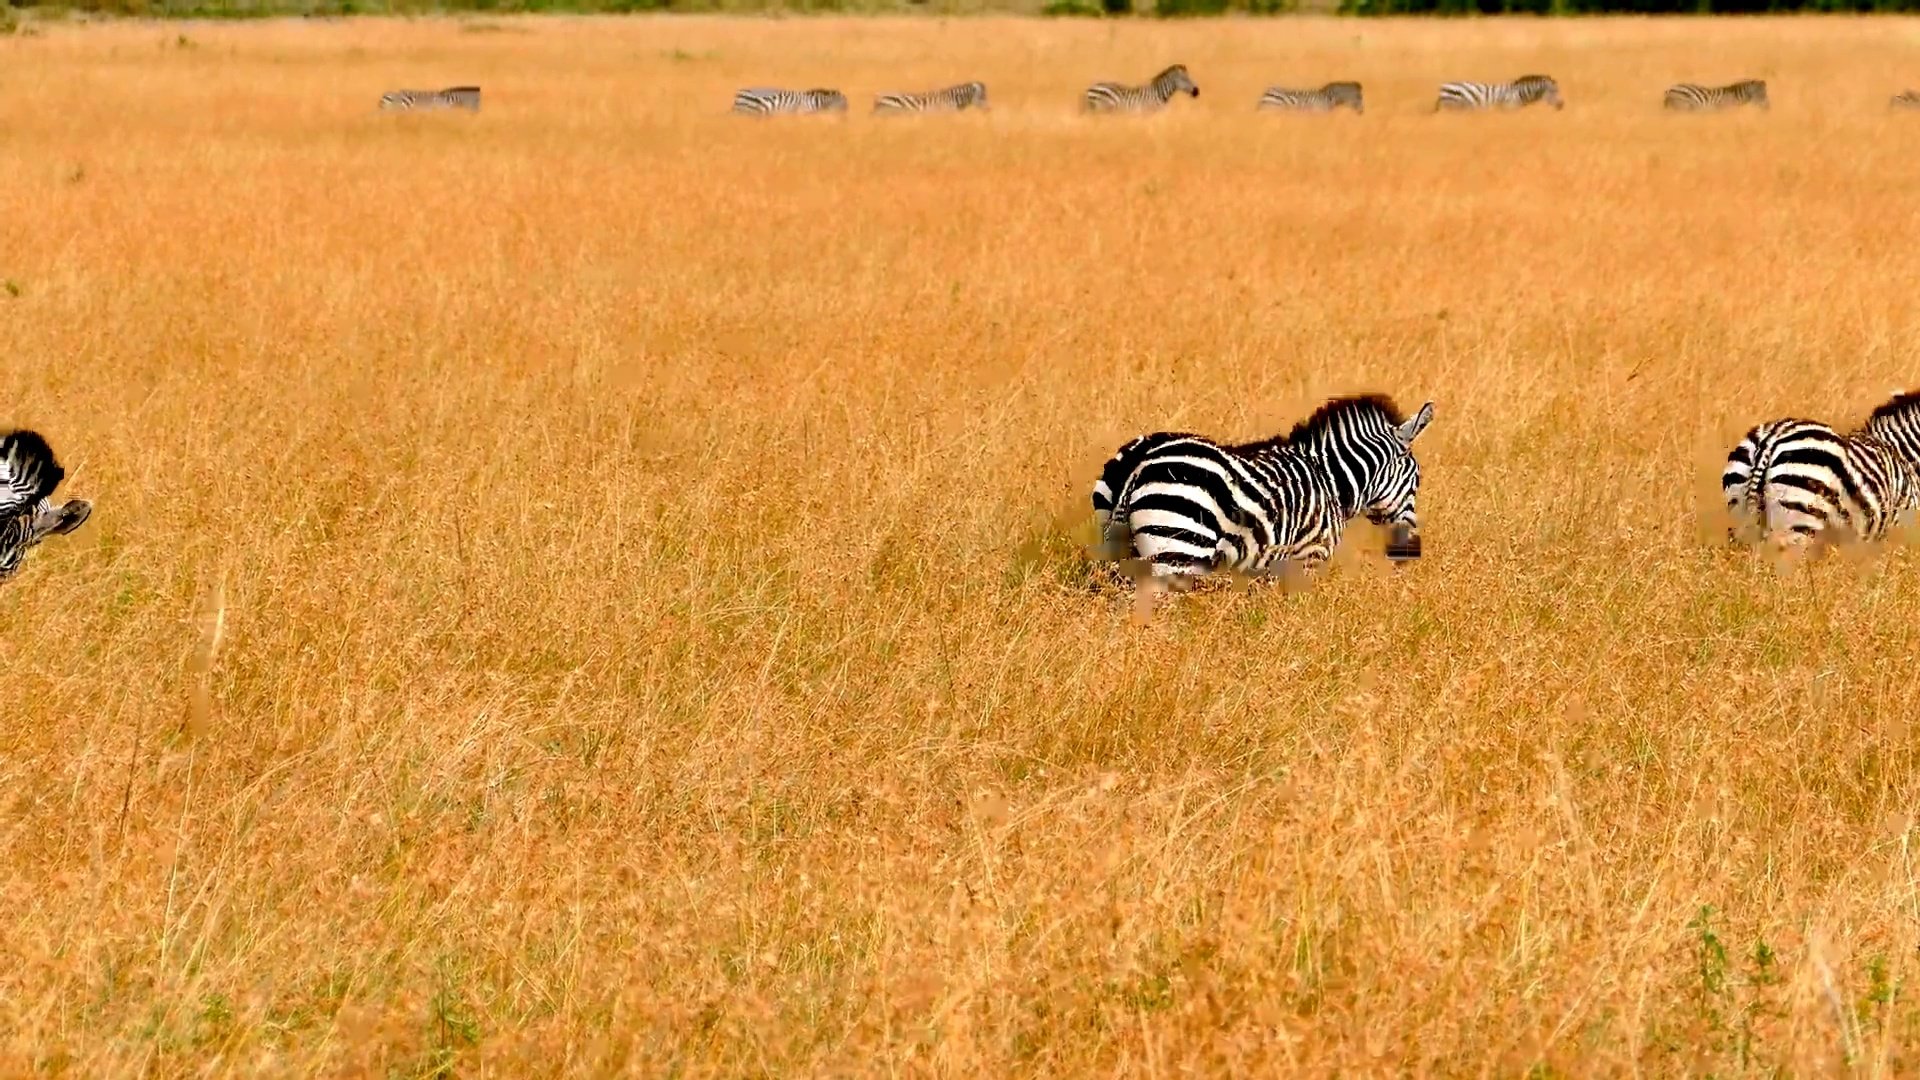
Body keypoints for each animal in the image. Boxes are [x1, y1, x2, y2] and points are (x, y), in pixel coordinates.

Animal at [1090, 393, 1436, 591]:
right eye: (1417, 480)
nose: (1410, 550)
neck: (1331, 480)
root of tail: (1142, 457)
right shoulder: (1307, 557)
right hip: (1179, 549)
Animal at [1436, 73, 1566, 111]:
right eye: (1553, 91)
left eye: (1557, 90)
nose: (1561, 105)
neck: (1519, 93)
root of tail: (1443, 86)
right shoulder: (1508, 109)